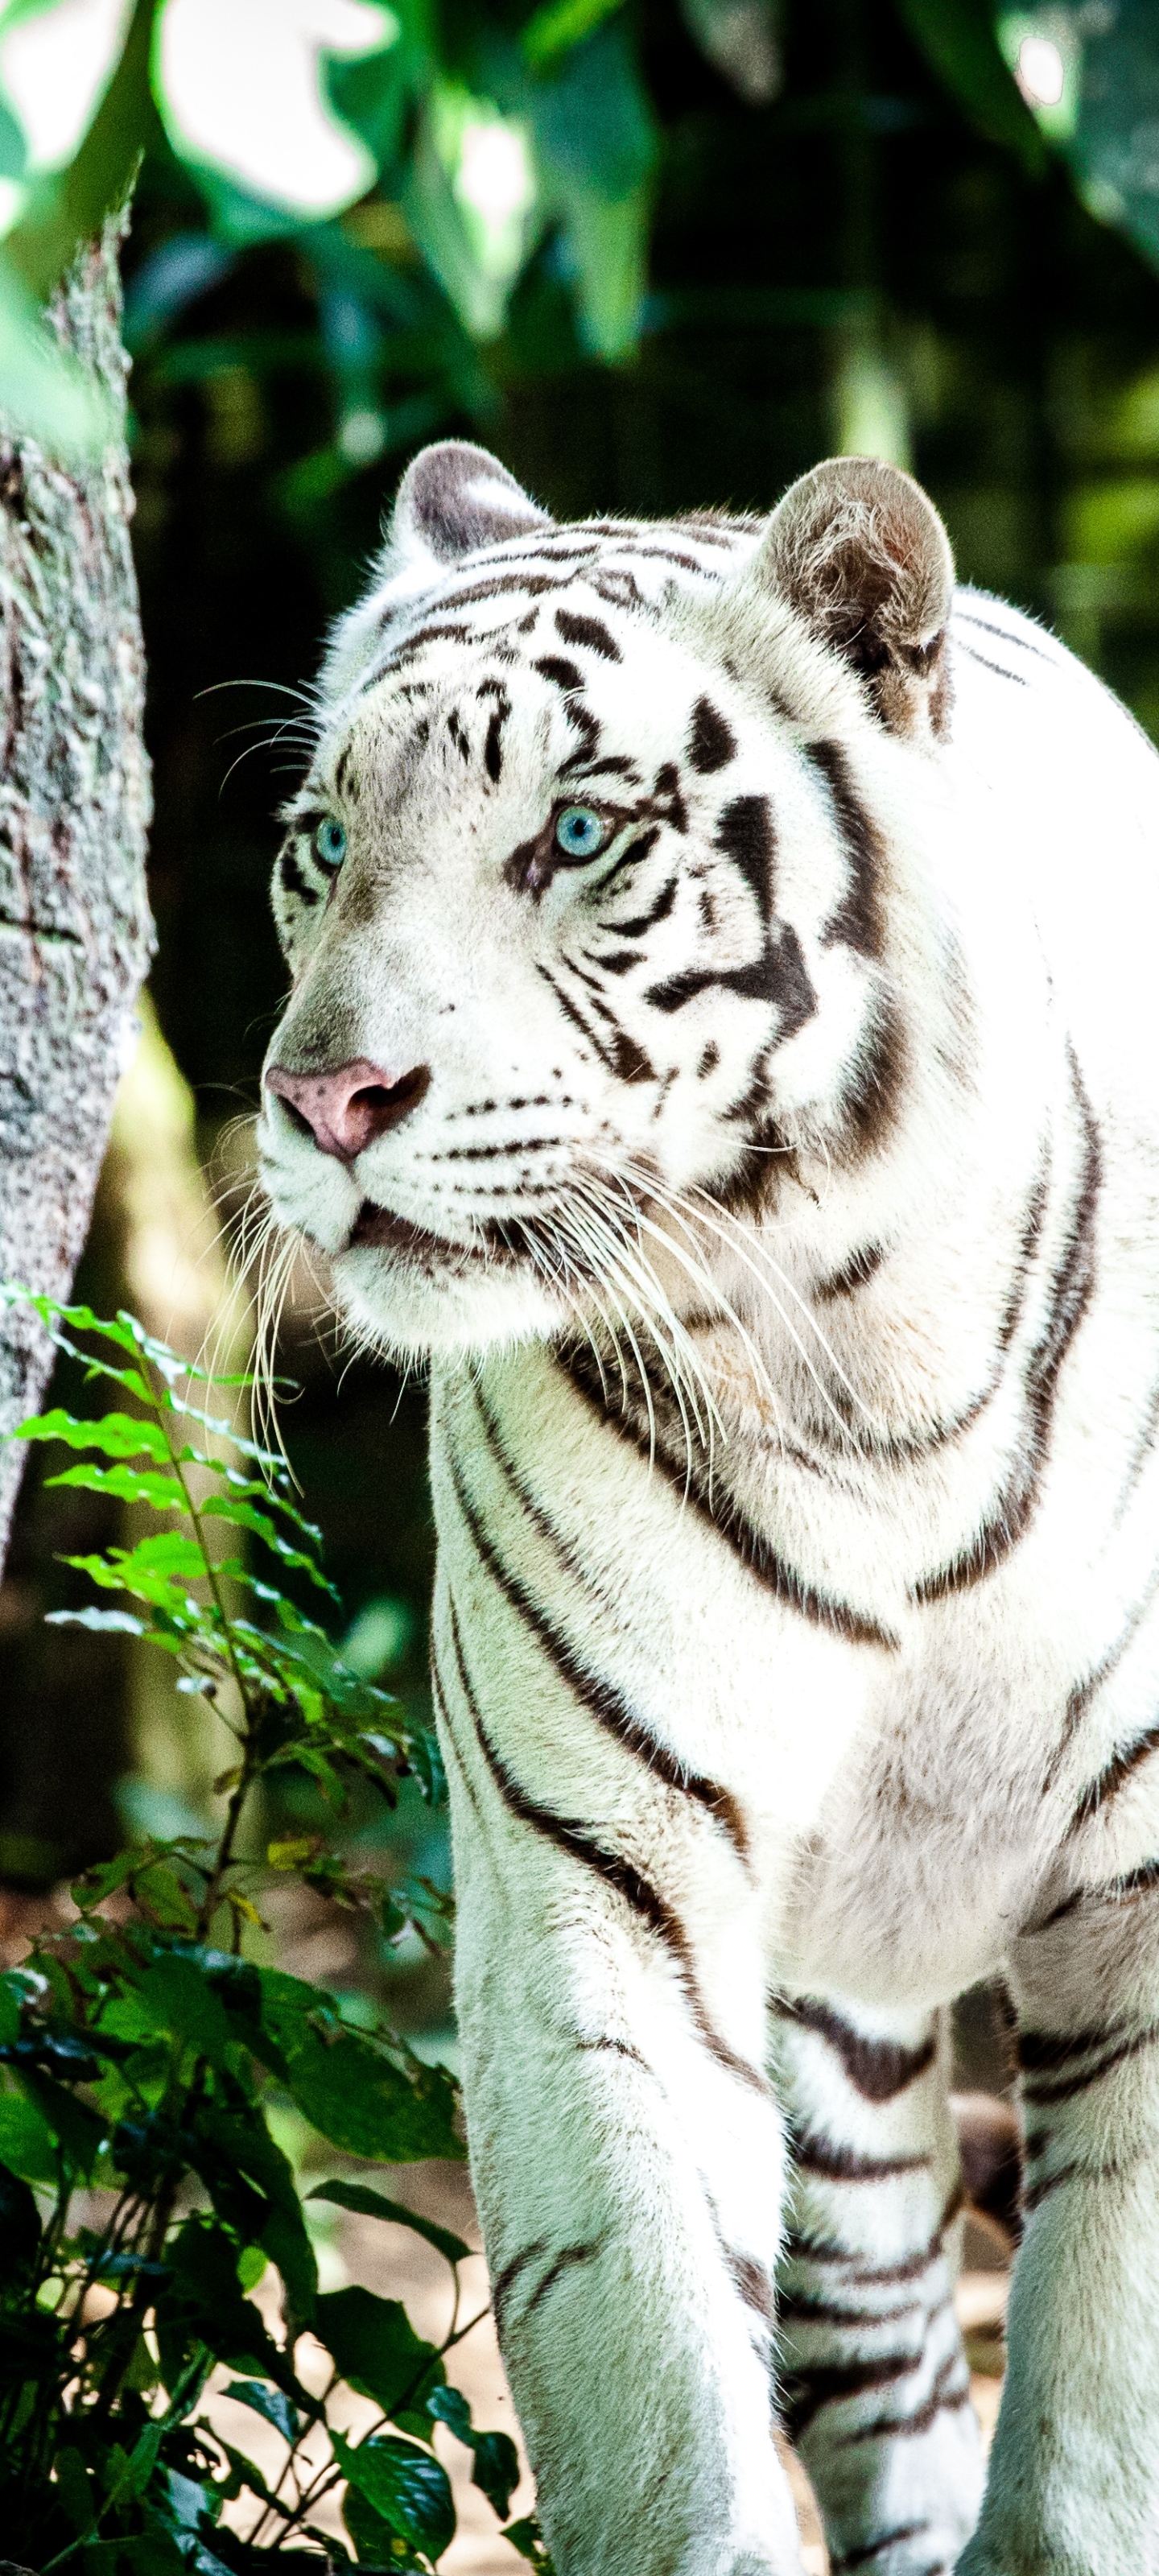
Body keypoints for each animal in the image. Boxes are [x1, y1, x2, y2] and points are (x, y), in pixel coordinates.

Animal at [256, 443, 1159, 2576]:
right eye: (321, 842)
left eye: (576, 831)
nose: (322, 1101)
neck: (867, 1355)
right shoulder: (603, 1880)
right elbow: (655, 2390)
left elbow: (1095, 2417)